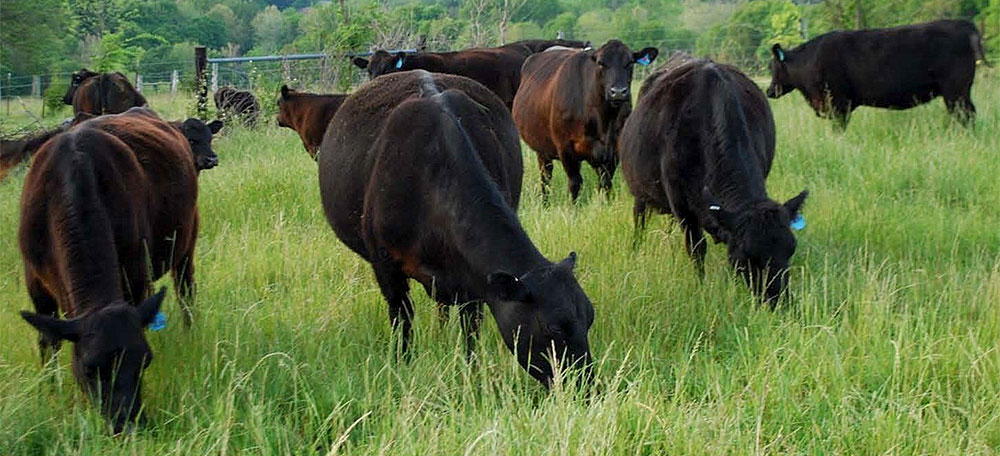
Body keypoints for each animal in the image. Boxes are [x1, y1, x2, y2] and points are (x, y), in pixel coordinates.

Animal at [18, 124, 173, 434]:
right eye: (90, 369)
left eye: (145, 361)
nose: (128, 426)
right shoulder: (36, 285)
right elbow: (48, 340)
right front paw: (49, 388)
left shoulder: (135, 273)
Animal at [318, 70, 594, 387]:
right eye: (555, 328)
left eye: (590, 317)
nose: (586, 385)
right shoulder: (385, 264)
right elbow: (402, 318)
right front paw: (402, 364)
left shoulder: (474, 280)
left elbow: (471, 326)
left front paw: (471, 369)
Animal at [513, 40, 657, 202]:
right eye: (601, 63)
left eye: (630, 62)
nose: (618, 92)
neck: (604, 121)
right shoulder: (565, 148)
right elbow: (575, 183)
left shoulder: (614, 151)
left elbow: (605, 183)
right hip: (542, 149)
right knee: (546, 177)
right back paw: (545, 203)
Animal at [620, 53, 808, 304]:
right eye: (746, 256)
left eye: (791, 248)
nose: (778, 301)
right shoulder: (682, 207)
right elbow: (697, 249)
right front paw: (700, 286)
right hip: (640, 192)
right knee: (639, 218)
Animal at [767, 20, 989, 129]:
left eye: (773, 67)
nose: (769, 91)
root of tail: (963, 24)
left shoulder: (839, 104)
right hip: (960, 91)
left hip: (956, 90)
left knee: (965, 115)